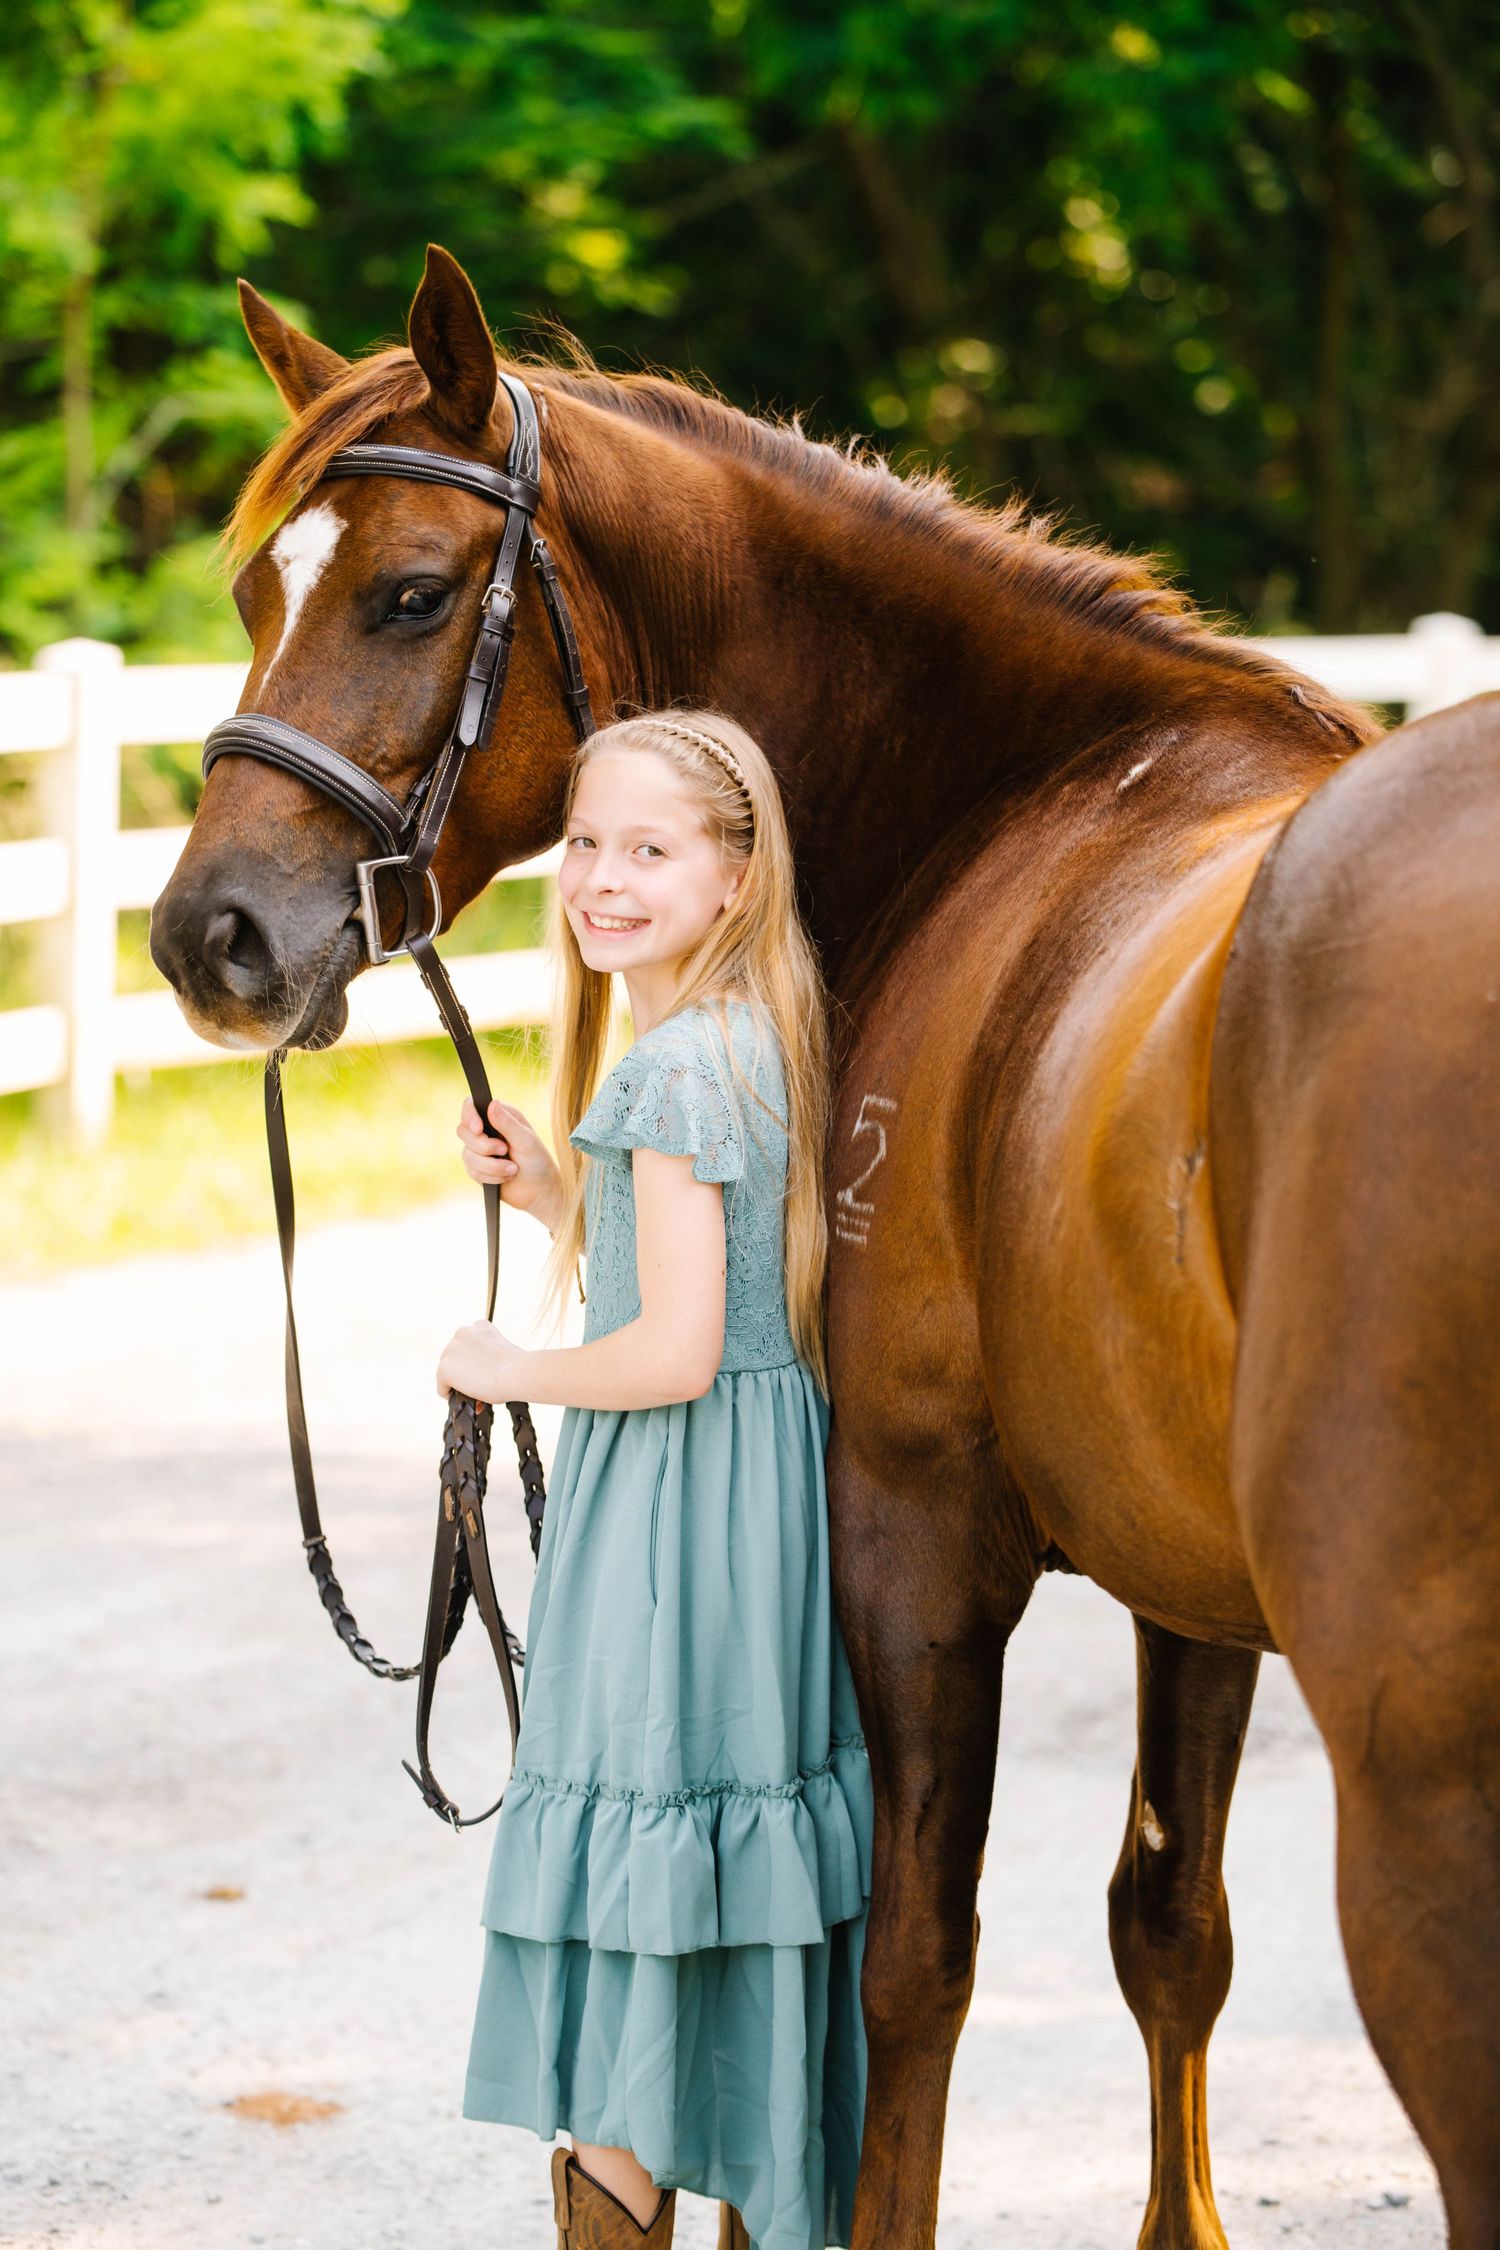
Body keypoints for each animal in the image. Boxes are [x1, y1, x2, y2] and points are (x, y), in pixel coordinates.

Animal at [150, 245, 1500, 2247]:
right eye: (256, 590)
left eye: (410, 594)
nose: (211, 938)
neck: (1012, 819)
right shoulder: (1185, 1584)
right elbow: (1169, 1933)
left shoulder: (913, 1536)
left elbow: (902, 1966)